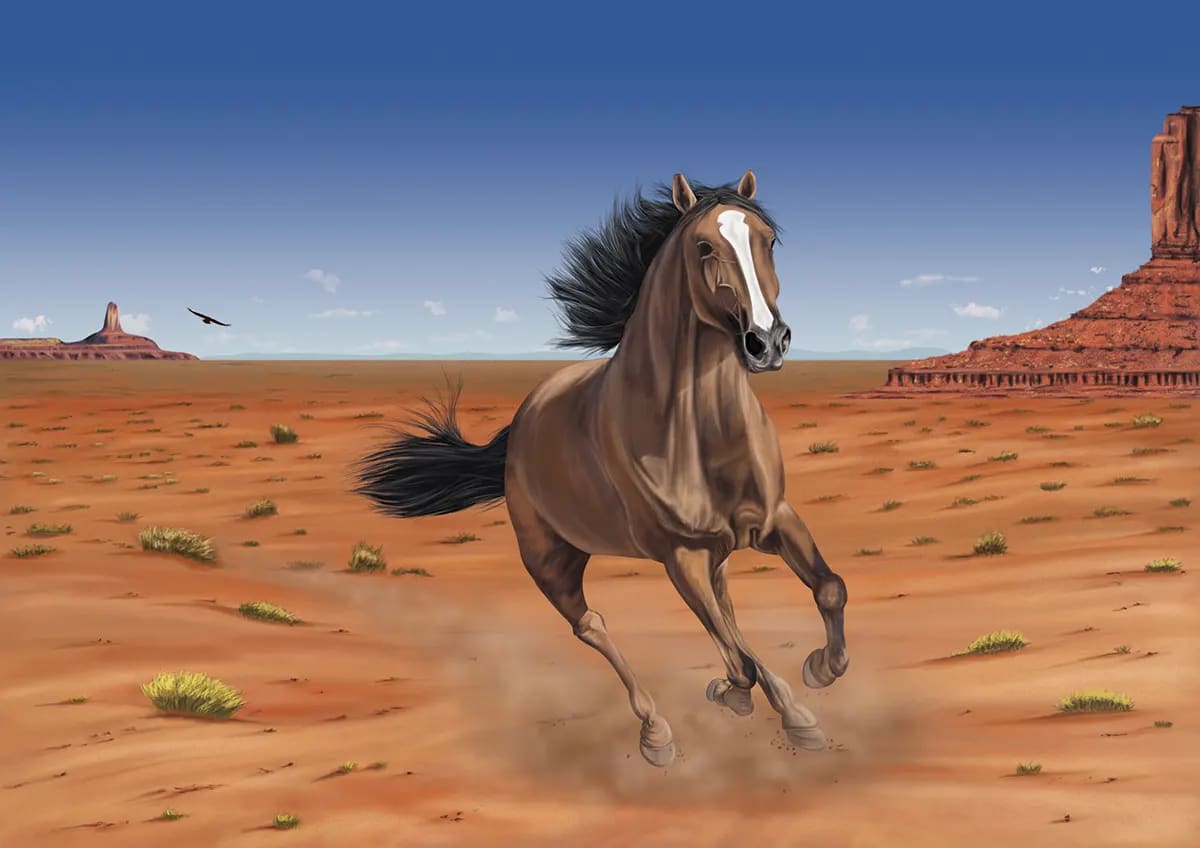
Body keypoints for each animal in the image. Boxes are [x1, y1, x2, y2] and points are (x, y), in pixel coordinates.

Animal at [355, 171, 849, 767]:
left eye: (768, 240)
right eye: (703, 246)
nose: (767, 342)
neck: (695, 431)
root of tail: (520, 425)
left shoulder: (775, 519)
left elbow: (828, 589)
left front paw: (818, 672)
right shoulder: (679, 555)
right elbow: (741, 660)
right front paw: (751, 697)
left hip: (712, 553)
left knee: (726, 611)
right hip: (551, 560)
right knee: (593, 624)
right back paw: (656, 732)